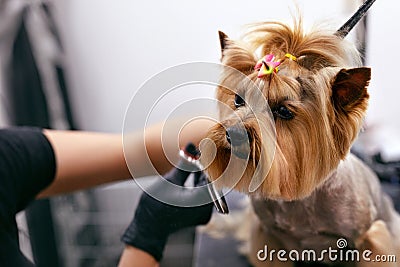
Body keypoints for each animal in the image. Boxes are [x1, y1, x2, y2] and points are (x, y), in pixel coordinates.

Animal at [200, 17, 400, 267]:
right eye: (238, 100)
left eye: (284, 111)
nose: (233, 133)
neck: (296, 196)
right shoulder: (269, 236)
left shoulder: (370, 237)